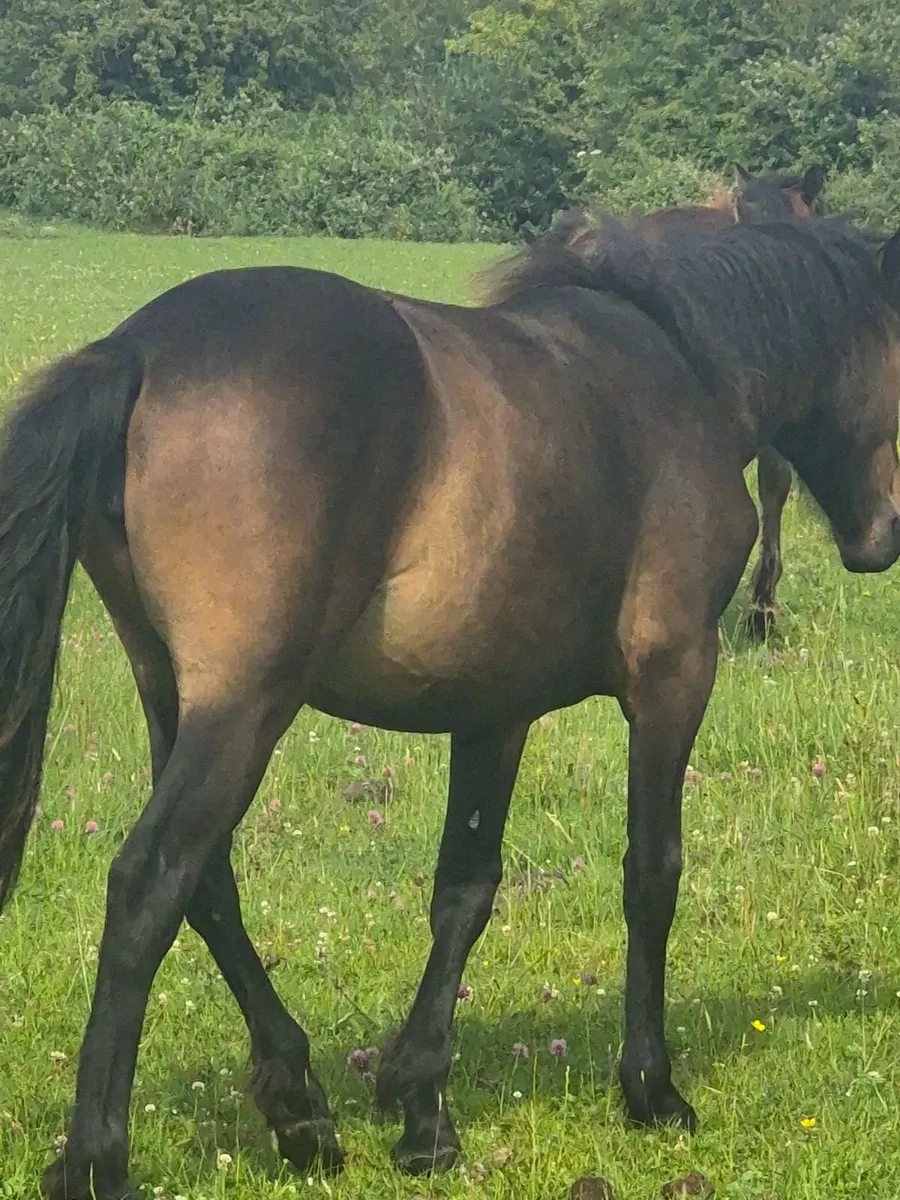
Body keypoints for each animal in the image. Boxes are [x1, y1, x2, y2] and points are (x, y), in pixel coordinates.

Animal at [1, 213, 898, 1198]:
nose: (882, 536)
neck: (679, 368)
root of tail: (138, 351)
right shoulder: (673, 677)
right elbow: (652, 875)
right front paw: (651, 1090)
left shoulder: (492, 711)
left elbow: (463, 891)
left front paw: (422, 1107)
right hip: (246, 706)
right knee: (149, 883)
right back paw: (97, 1158)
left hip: (169, 689)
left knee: (208, 884)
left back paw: (301, 1106)